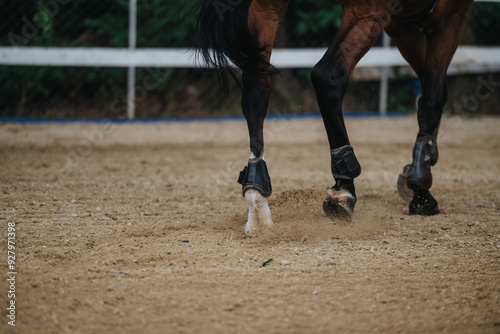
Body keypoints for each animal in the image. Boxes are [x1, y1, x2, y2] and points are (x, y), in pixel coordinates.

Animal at [193, 0, 474, 234]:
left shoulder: (403, 23)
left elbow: (430, 86)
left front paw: (412, 175)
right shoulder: (448, 16)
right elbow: (433, 94)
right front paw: (419, 185)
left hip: (266, 8)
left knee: (256, 87)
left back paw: (256, 194)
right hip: (368, 11)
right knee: (328, 76)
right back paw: (344, 187)